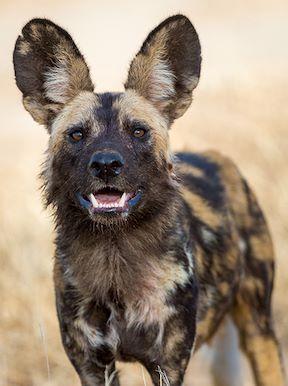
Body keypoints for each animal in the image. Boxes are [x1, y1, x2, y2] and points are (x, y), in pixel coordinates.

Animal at [12, 15, 284, 386]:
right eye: (77, 134)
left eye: (138, 131)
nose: (106, 164)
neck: (114, 256)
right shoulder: (92, 365)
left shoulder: (167, 363)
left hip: (259, 331)